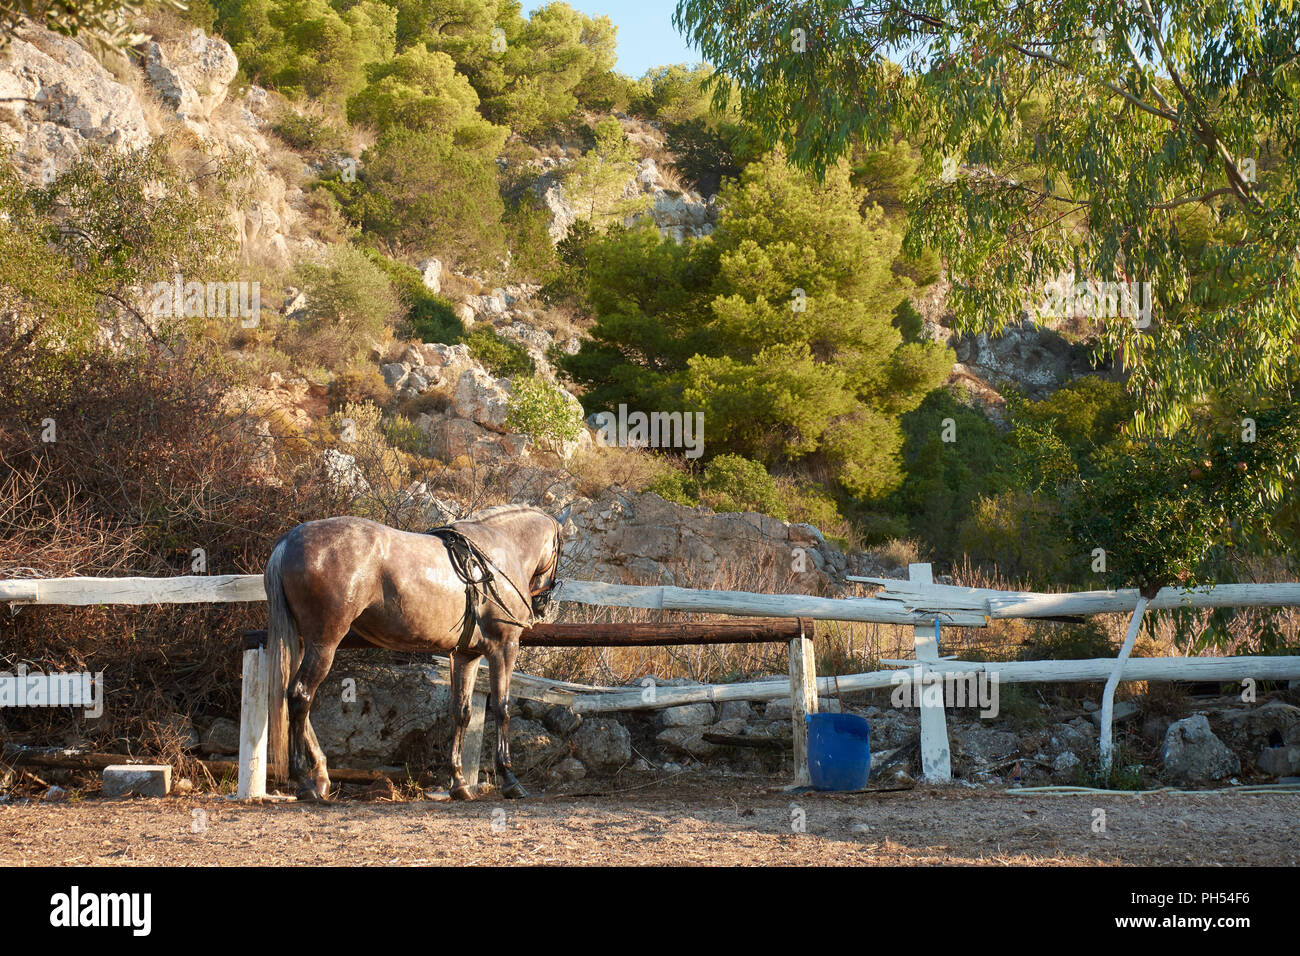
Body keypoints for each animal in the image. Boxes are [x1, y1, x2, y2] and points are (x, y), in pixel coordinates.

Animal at [263, 504, 565, 801]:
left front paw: (459, 783)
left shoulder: (466, 656)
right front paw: (510, 779)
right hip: (324, 644)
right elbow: (502, 709)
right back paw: (305, 781)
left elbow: (462, 712)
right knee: (300, 697)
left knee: (295, 701)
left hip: (303, 644)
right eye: (559, 550)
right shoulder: (504, 647)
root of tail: (289, 541)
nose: (542, 603)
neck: (496, 553)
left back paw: (320, 776)